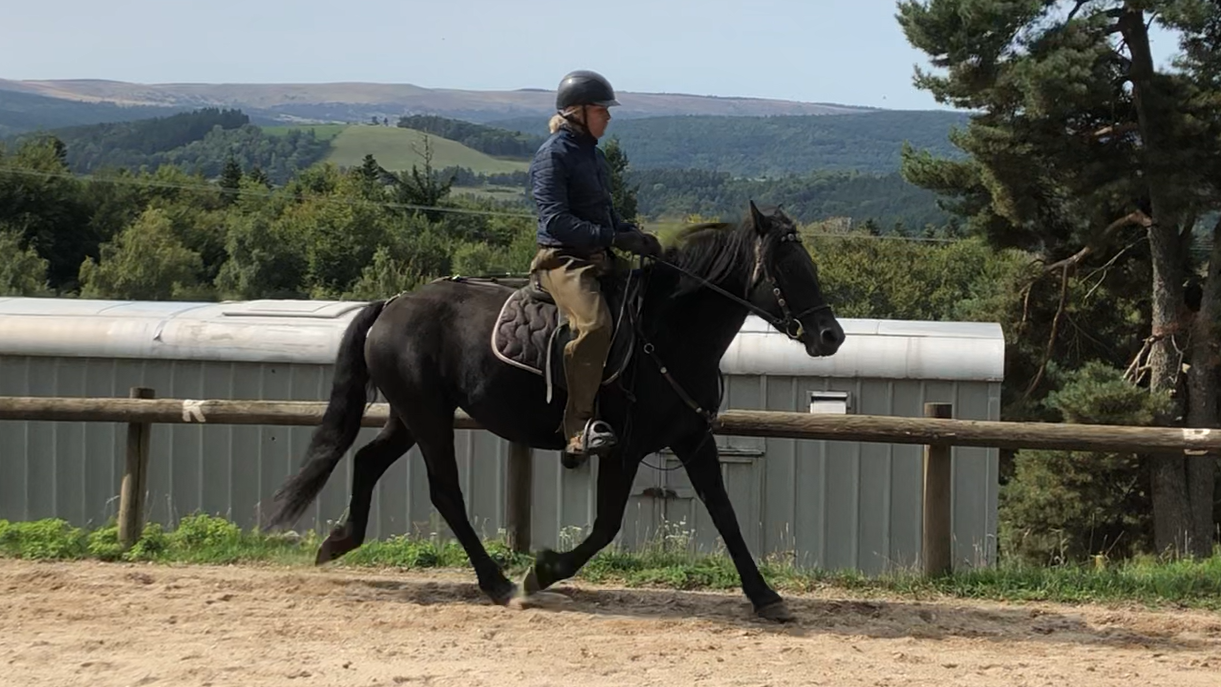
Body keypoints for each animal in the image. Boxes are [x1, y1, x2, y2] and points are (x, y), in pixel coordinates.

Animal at [265, 200, 845, 622]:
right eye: (785, 269)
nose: (830, 336)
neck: (667, 332)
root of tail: (392, 304)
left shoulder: (692, 439)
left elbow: (725, 513)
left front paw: (765, 597)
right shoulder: (623, 448)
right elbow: (607, 525)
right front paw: (541, 572)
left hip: (410, 415)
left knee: (368, 461)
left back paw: (339, 542)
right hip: (429, 417)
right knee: (445, 491)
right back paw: (499, 584)